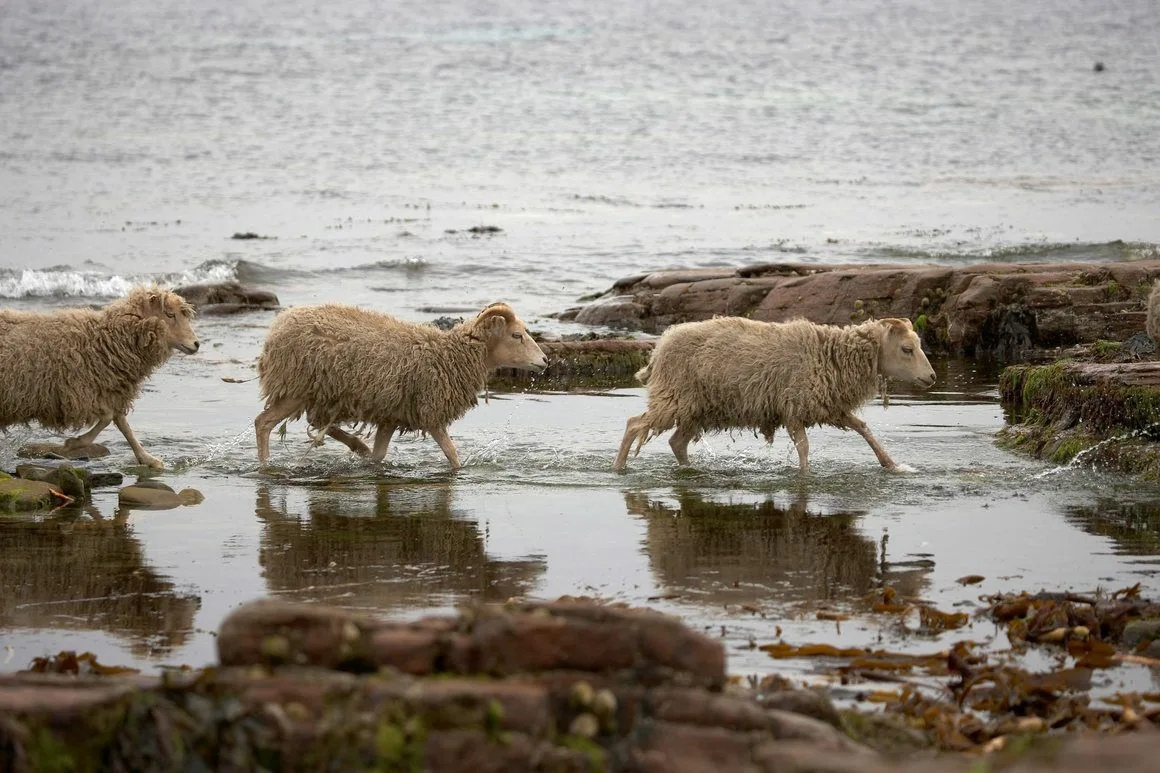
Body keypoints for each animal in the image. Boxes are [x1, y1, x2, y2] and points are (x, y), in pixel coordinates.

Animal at [0, 285, 200, 466]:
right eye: (170, 315)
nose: (196, 344)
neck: (105, 340)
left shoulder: (111, 389)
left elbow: (123, 425)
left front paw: (148, 459)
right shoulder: (80, 392)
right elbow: (107, 418)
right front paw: (72, 443)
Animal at [254, 299, 547, 466]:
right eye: (517, 335)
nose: (545, 361)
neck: (448, 355)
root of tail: (276, 328)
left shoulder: (391, 415)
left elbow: (379, 456)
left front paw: (367, 456)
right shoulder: (430, 412)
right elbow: (453, 455)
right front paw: (460, 469)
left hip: (320, 392)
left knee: (315, 421)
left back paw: (355, 445)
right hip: (295, 387)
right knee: (263, 423)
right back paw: (266, 466)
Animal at [612, 315, 937, 473]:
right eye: (907, 349)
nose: (933, 377)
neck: (831, 355)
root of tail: (660, 347)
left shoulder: (828, 407)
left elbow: (864, 429)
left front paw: (892, 465)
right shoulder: (794, 407)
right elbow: (804, 447)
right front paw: (805, 474)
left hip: (696, 408)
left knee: (676, 442)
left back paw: (689, 469)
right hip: (674, 397)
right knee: (634, 425)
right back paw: (618, 468)